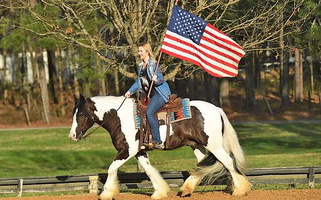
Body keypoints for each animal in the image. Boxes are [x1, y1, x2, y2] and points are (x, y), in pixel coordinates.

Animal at [69, 94, 251, 199]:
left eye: (81, 115)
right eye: (74, 113)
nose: (72, 136)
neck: (120, 117)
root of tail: (217, 109)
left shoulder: (127, 151)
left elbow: (112, 168)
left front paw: (107, 193)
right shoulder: (140, 152)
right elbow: (149, 171)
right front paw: (160, 192)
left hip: (213, 145)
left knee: (228, 162)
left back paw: (240, 190)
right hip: (198, 146)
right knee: (203, 165)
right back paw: (187, 189)